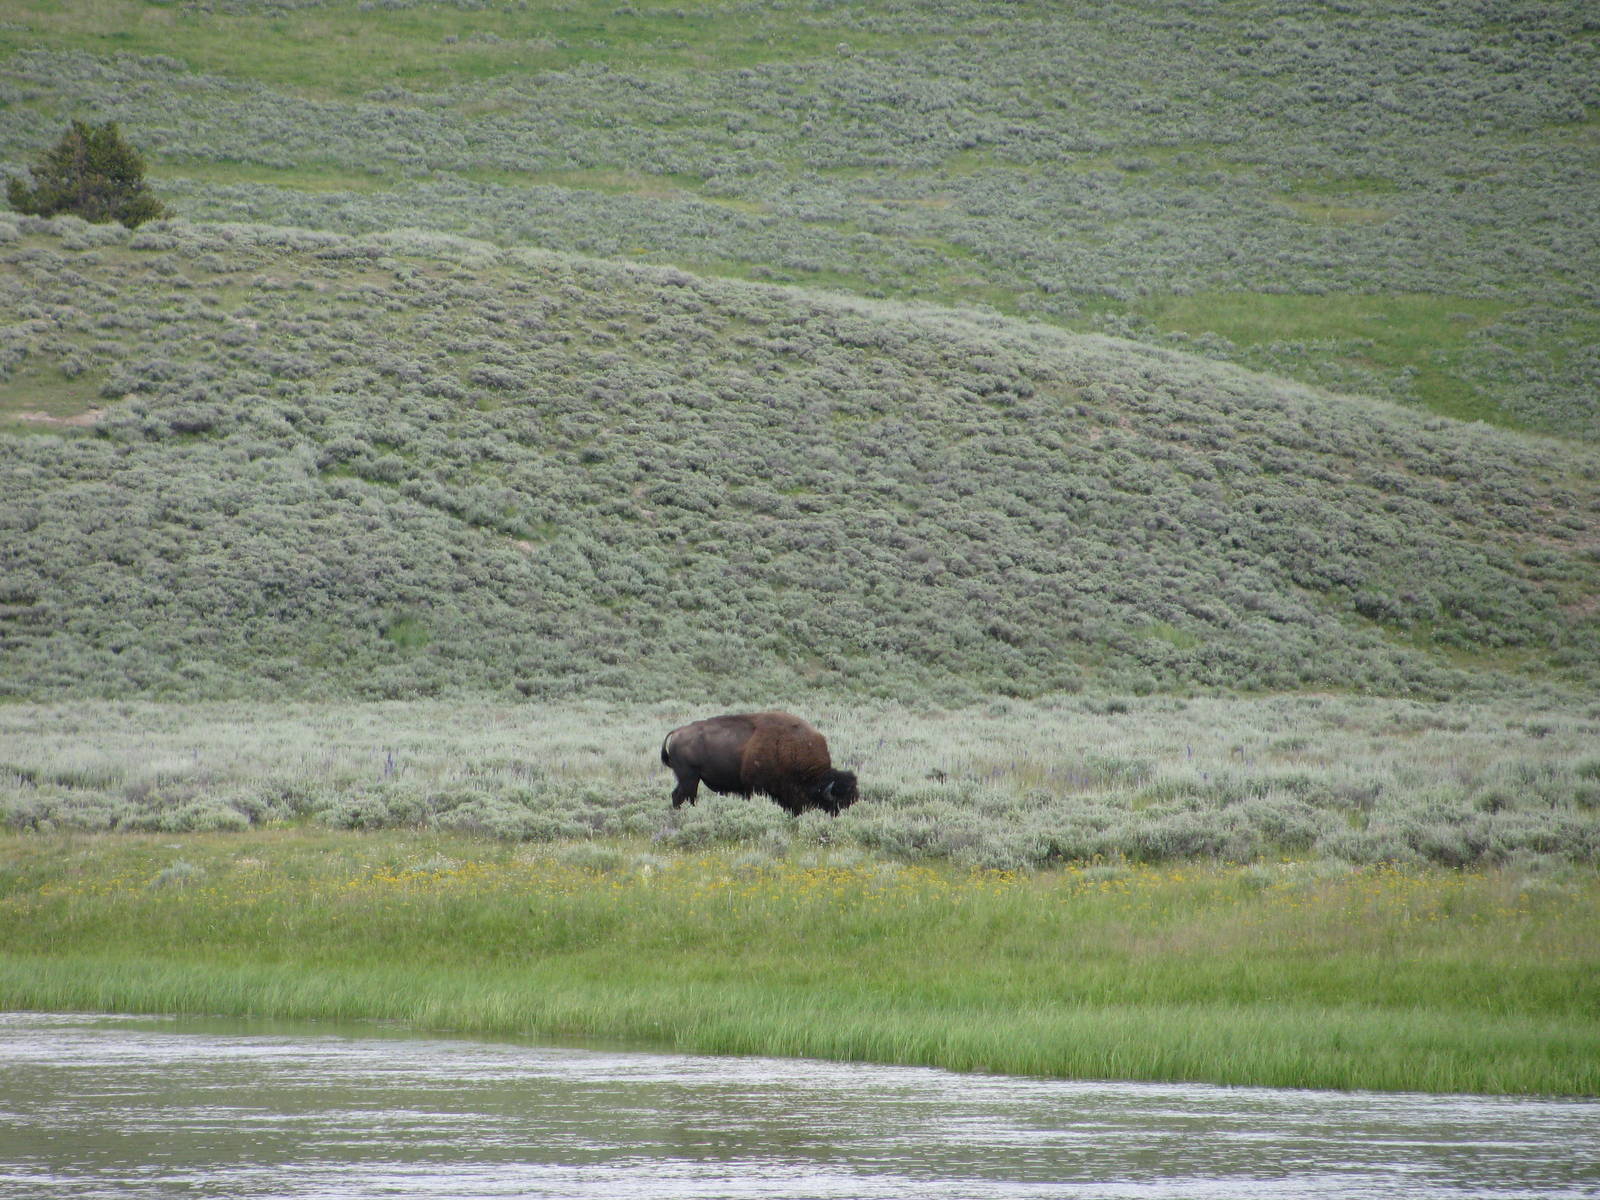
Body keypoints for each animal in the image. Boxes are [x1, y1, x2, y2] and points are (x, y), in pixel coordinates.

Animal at [660, 711, 859, 816]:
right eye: (839, 803)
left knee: (678, 795)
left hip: (687, 778)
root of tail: (677, 732)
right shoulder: (756, 788)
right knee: (685, 797)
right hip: (690, 777)